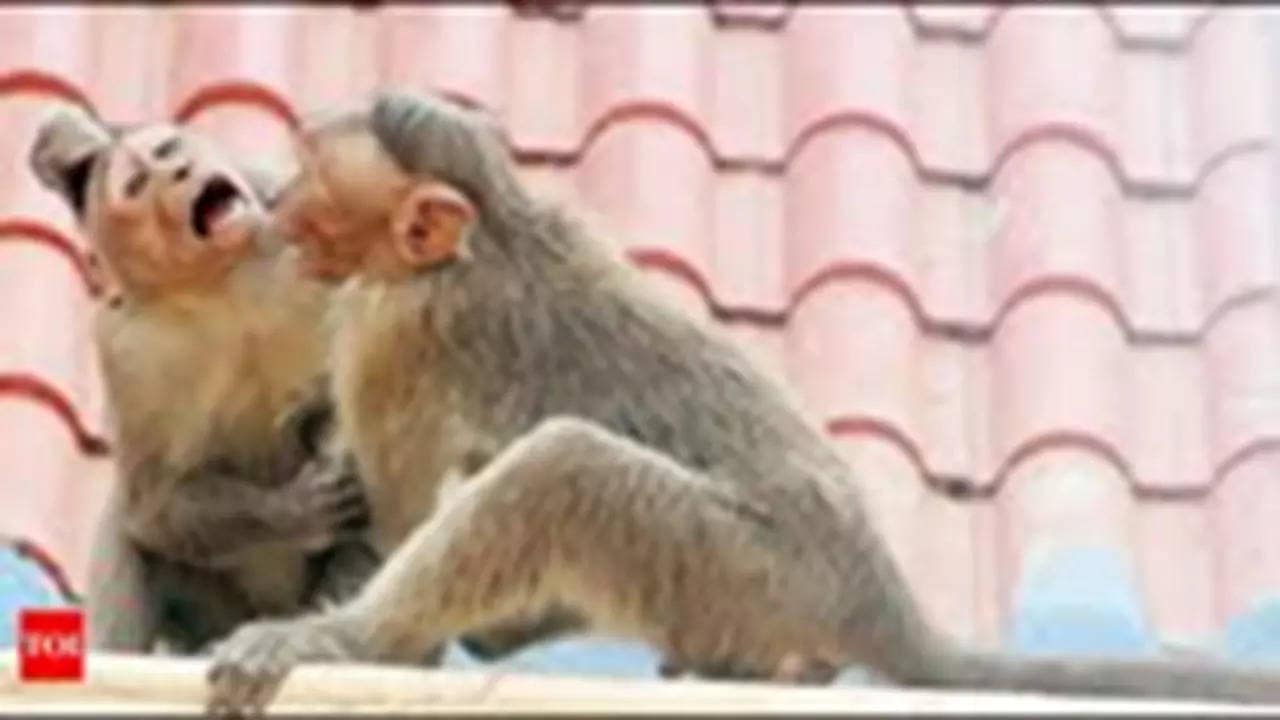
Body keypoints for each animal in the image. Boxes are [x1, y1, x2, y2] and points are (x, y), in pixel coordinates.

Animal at [29, 106, 381, 655]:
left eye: (168, 152)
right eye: (138, 184)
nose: (178, 173)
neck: (224, 279)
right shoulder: (126, 351)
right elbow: (153, 503)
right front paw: (291, 513)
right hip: (214, 617)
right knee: (130, 526)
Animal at [202, 90, 1280, 715]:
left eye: (313, 177)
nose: (277, 203)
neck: (484, 238)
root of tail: (871, 586)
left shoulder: (397, 328)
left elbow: (399, 510)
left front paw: (352, 626)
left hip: (746, 568)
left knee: (564, 470)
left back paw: (367, 636)